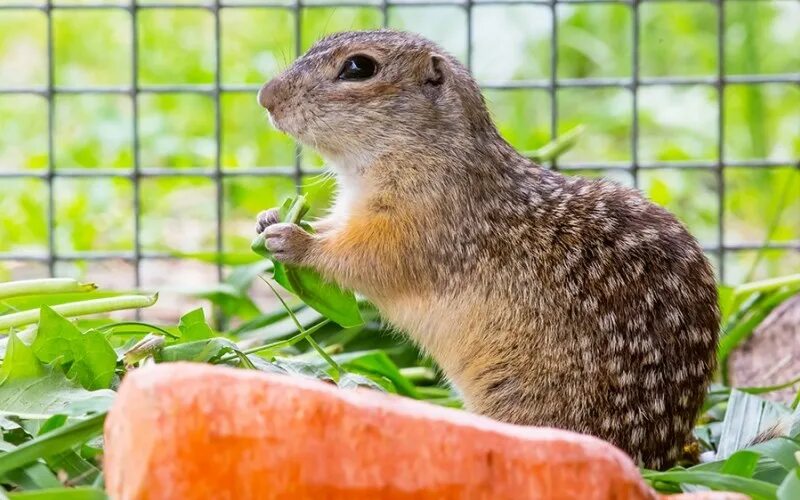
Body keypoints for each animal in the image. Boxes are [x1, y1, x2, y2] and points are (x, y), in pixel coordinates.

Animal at [255, 30, 720, 468]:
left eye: (358, 68)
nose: (265, 96)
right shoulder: (354, 211)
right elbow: (334, 227)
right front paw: (269, 219)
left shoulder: (423, 228)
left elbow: (367, 259)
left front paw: (295, 240)